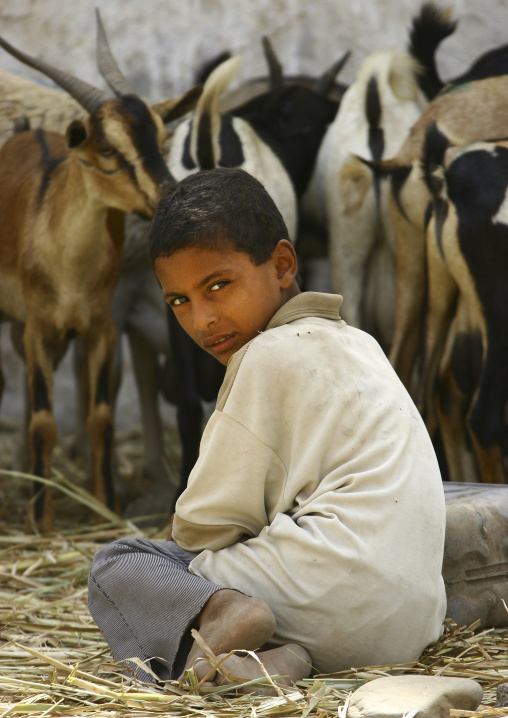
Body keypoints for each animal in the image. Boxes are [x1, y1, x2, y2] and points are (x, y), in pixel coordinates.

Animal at [0, 14, 202, 532]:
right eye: (107, 147)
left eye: (161, 137)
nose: (168, 193)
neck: (69, 265)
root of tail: (27, 131)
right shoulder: (39, 327)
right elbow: (45, 422)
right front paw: (43, 520)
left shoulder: (101, 328)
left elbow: (101, 418)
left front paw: (104, 506)